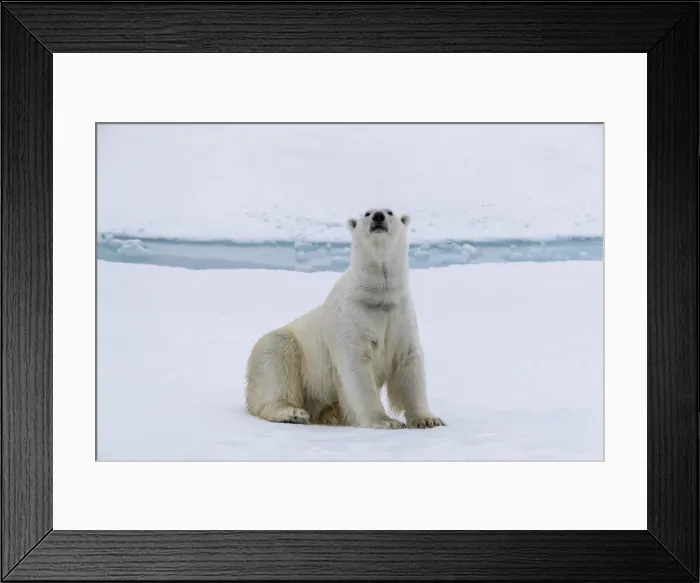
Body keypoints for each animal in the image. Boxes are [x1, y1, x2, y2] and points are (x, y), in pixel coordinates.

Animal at [244, 208, 445, 430]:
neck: (378, 297)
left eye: (390, 211)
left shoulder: (399, 316)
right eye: (367, 213)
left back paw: (331, 414)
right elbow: (356, 366)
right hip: (290, 353)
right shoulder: (351, 317)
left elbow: (408, 362)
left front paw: (428, 419)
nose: (378, 216)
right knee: (276, 360)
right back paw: (292, 413)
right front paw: (386, 421)